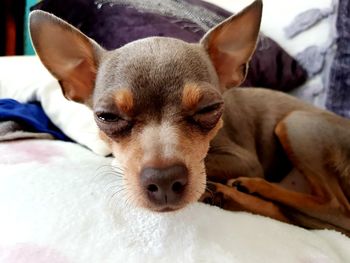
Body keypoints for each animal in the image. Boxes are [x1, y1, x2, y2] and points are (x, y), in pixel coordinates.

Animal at [29, 0, 350, 235]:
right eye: (107, 117)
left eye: (209, 108)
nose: (164, 181)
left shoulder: (245, 160)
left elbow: (206, 162)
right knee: (298, 217)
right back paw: (236, 194)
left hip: (296, 124)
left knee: (336, 210)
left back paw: (250, 188)